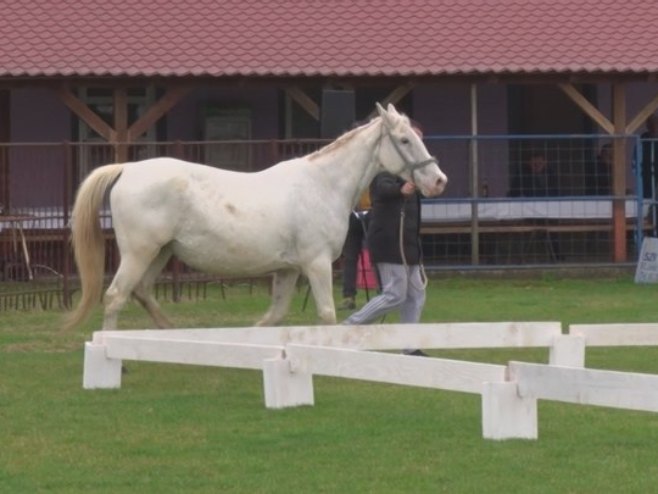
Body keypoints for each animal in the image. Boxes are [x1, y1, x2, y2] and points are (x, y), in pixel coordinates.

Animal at [64, 102, 446, 330]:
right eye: (404, 140)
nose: (438, 181)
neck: (322, 184)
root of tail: (127, 169)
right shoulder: (317, 263)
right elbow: (326, 314)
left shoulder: (289, 269)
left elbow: (274, 315)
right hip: (139, 253)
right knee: (116, 296)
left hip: (160, 253)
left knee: (141, 292)